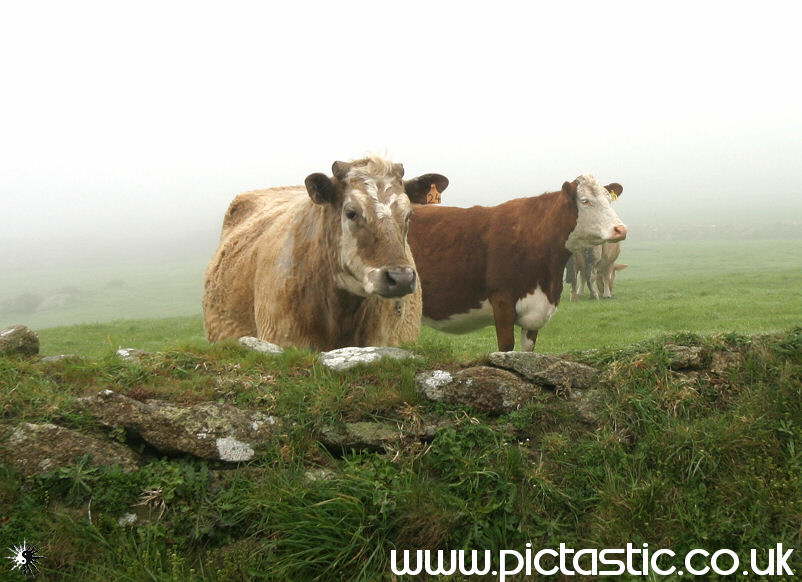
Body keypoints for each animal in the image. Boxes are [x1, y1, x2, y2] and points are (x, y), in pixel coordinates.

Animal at [406, 176, 624, 352]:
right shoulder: (502, 302)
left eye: (609, 199)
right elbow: (505, 350)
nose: (621, 229)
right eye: (586, 201)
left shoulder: (535, 314)